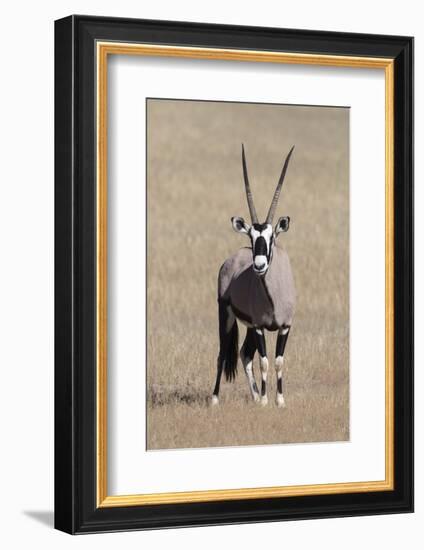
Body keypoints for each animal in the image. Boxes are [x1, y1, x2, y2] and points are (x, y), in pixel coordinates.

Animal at [211, 147, 294, 410]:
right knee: (223, 352)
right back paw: (215, 398)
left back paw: (255, 395)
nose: (258, 265)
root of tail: (233, 257)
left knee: (244, 353)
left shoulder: (285, 326)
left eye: (271, 237)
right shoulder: (259, 327)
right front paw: (266, 400)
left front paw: (279, 400)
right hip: (225, 314)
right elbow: (265, 361)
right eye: (252, 236)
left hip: (245, 325)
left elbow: (278, 361)